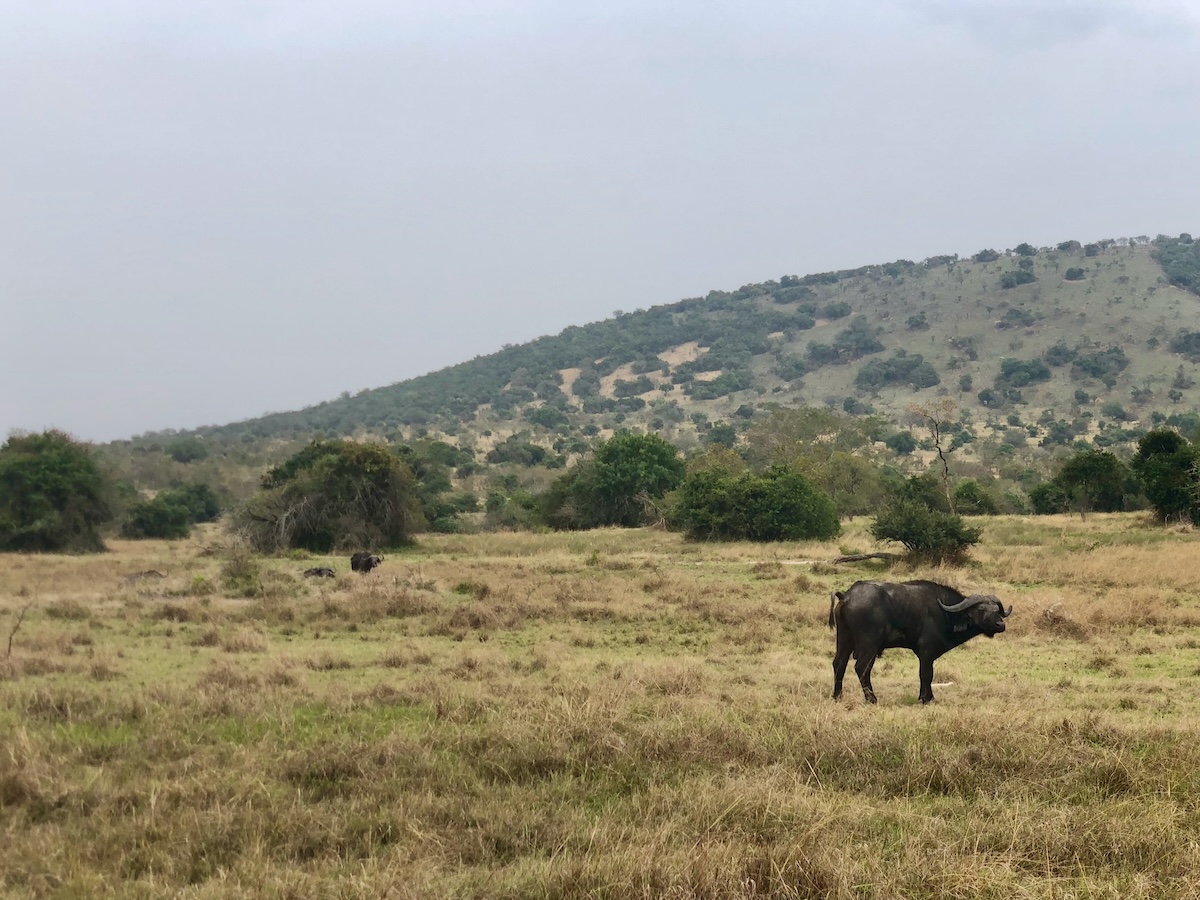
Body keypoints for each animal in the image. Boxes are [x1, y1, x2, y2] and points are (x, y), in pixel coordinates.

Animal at [829, 579, 1011, 704]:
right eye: (981, 609)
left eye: (997, 610)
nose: (1000, 625)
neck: (944, 613)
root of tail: (847, 596)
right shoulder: (926, 653)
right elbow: (927, 675)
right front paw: (928, 699)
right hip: (869, 644)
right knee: (862, 668)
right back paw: (872, 699)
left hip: (844, 638)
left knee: (839, 663)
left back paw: (837, 696)